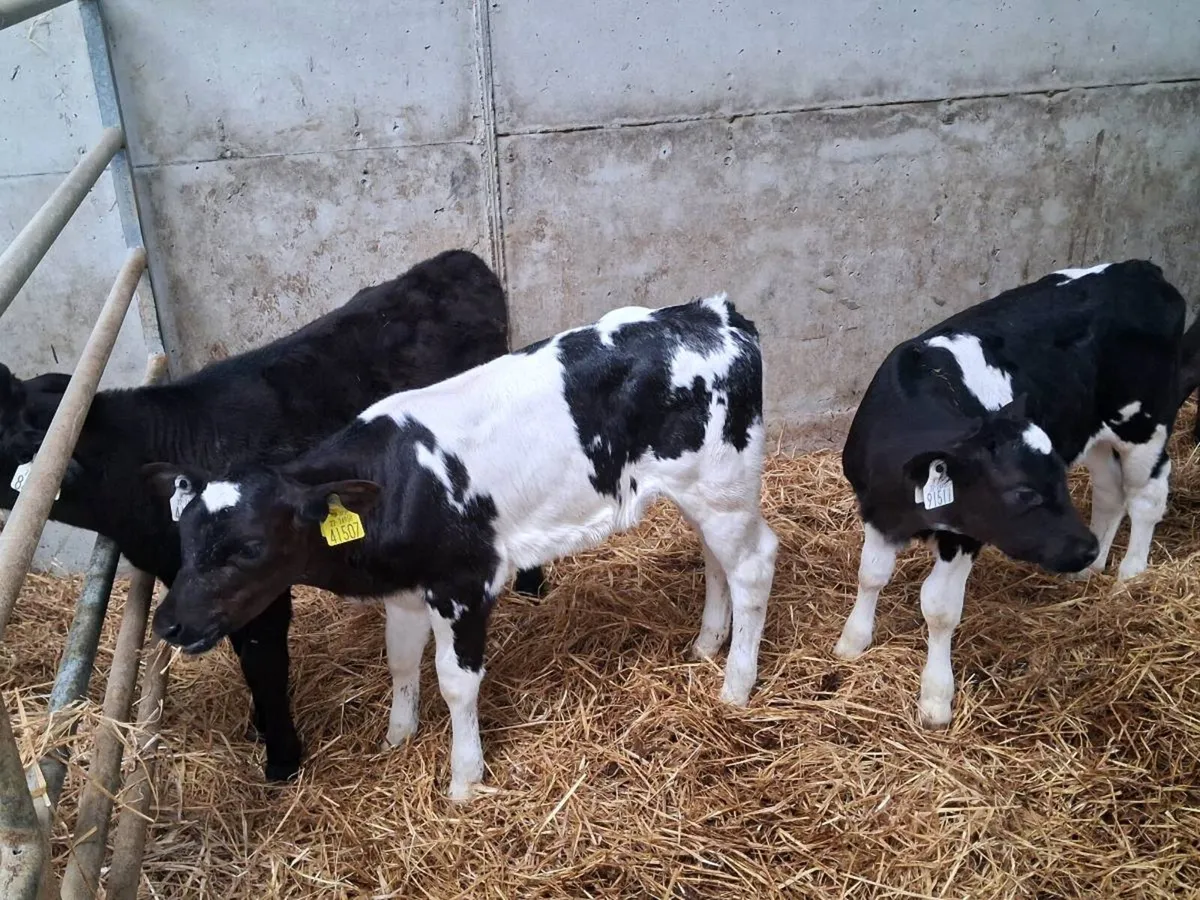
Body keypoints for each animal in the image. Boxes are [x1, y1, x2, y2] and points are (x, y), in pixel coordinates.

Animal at [0, 249, 546, 782]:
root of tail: (459, 259)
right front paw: (260, 727)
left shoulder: (265, 582)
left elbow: (263, 663)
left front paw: (281, 755)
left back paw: (532, 586)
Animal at [143, 294, 779, 800]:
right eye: (184, 536)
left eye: (249, 547)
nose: (168, 623)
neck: (395, 481)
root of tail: (714, 314)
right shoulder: (405, 591)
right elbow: (400, 659)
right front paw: (397, 738)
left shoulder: (462, 585)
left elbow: (456, 681)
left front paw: (464, 778)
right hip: (699, 492)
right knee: (716, 558)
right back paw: (706, 644)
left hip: (722, 483)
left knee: (753, 563)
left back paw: (735, 685)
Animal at [835, 260, 1188, 728]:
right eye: (1023, 493)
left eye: (1055, 480)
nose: (1084, 548)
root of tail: (1140, 269)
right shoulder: (878, 512)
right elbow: (870, 575)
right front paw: (852, 641)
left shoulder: (965, 533)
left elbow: (939, 607)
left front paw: (935, 697)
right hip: (1090, 430)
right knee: (1110, 489)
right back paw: (1090, 572)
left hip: (1146, 423)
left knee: (1147, 493)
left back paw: (1130, 574)